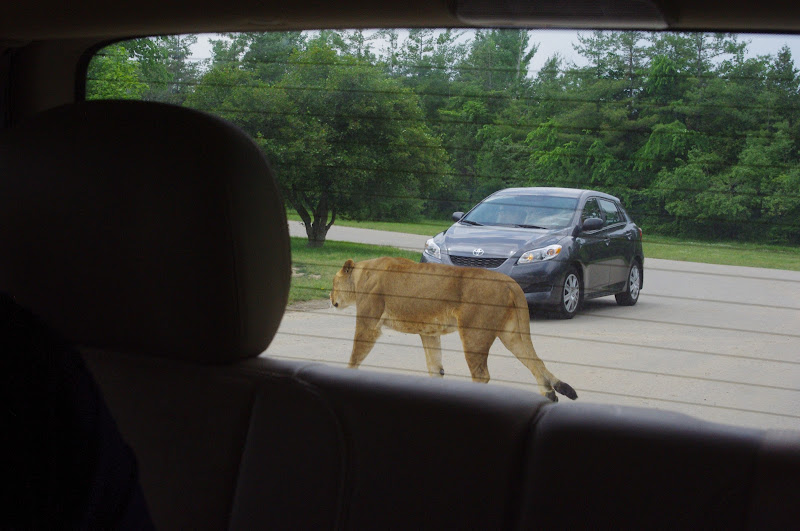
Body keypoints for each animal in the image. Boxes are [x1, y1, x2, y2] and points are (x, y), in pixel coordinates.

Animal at [330, 256, 577, 402]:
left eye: (333, 283)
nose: (330, 298)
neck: (361, 274)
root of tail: (510, 282)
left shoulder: (368, 324)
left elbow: (354, 357)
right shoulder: (429, 333)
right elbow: (435, 368)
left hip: (474, 334)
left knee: (482, 375)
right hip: (511, 333)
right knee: (536, 361)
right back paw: (549, 395)